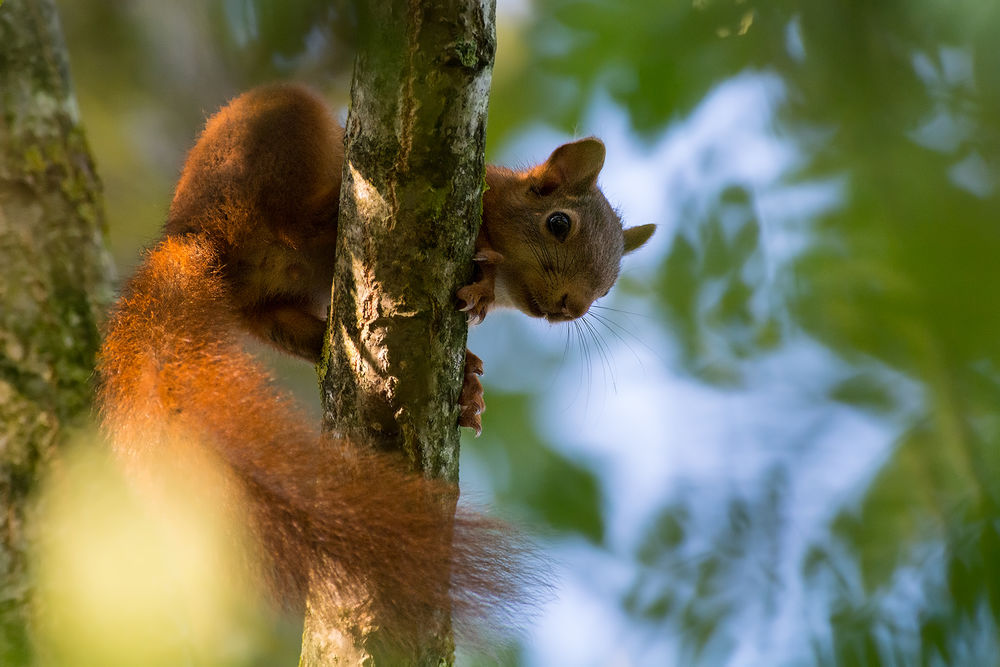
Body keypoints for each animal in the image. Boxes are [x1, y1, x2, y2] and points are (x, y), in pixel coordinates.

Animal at [94, 82, 656, 648]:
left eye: (608, 285)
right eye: (558, 223)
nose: (571, 306)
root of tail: (191, 233)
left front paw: (470, 388)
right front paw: (483, 266)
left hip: (267, 301)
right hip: (271, 145)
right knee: (297, 217)